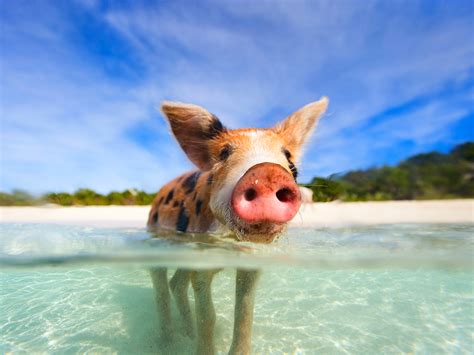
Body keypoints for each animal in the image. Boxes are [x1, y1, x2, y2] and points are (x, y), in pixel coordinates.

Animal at [146, 97, 328, 355]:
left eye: (290, 159)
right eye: (223, 153)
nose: (267, 172)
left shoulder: (251, 263)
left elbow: (244, 314)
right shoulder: (201, 259)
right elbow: (208, 317)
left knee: (177, 284)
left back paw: (187, 334)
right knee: (161, 284)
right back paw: (167, 343)